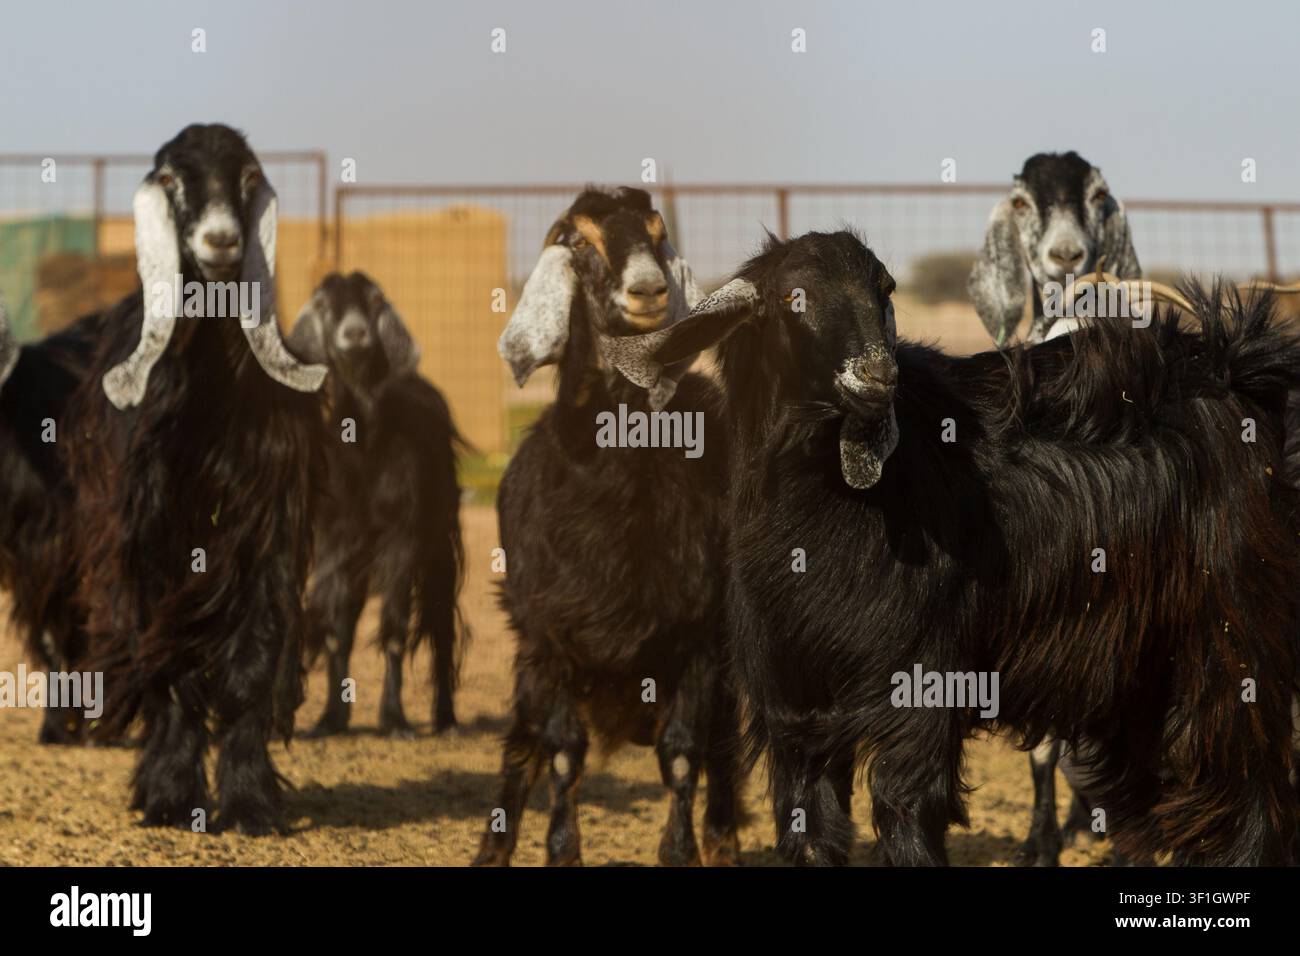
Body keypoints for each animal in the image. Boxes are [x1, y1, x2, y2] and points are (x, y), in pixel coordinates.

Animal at [65, 124, 327, 833]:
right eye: (171, 179)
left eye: (247, 177)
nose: (220, 242)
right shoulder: (149, 541)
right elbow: (168, 666)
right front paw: (167, 796)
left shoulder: (263, 535)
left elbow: (250, 665)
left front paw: (249, 802)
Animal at [286, 271, 468, 737]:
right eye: (324, 304)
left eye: (373, 300)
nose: (355, 334)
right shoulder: (333, 539)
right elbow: (337, 629)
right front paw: (330, 719)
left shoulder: (402, 536)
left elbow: (395, 626)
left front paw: (395, 719)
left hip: (438, 542)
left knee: (440, 624)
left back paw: (446, 719)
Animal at [473, 186, 744, 866]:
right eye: (579, 242)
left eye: (657, 232)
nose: (647, 289)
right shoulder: (549, 638)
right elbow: (563, 756)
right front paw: (561, 851)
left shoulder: (699, 640)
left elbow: (683, 757)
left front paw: (681, 852)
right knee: (522, 748)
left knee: (724, 756)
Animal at [609, 228, 1300, 866]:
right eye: (790, 296)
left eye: (884, 288)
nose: (877, 375)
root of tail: (1236, 366)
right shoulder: (793, 702)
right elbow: (810, 822)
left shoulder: (921, 682)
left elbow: (906, 806)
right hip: (1141, 665)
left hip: (1232, 638)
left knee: (1244, 779)